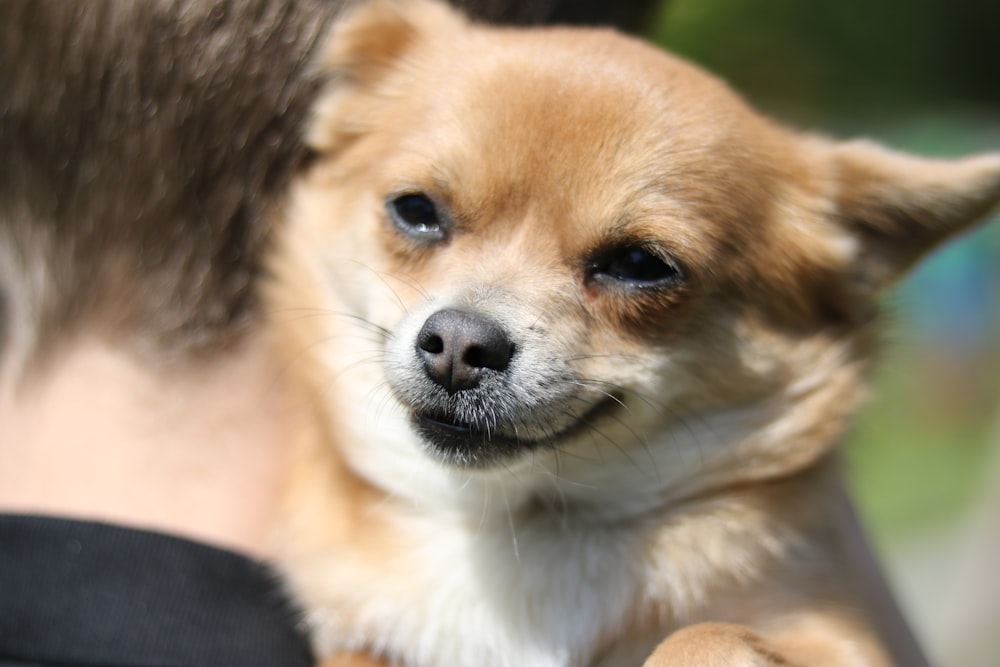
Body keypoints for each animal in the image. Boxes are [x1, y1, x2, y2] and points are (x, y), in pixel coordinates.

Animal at [264, 2, 1000, 664]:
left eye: (641, 265)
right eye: (415, 210)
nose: (459, 344)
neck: (516, 525)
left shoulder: (840, 636)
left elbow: (704, 636)